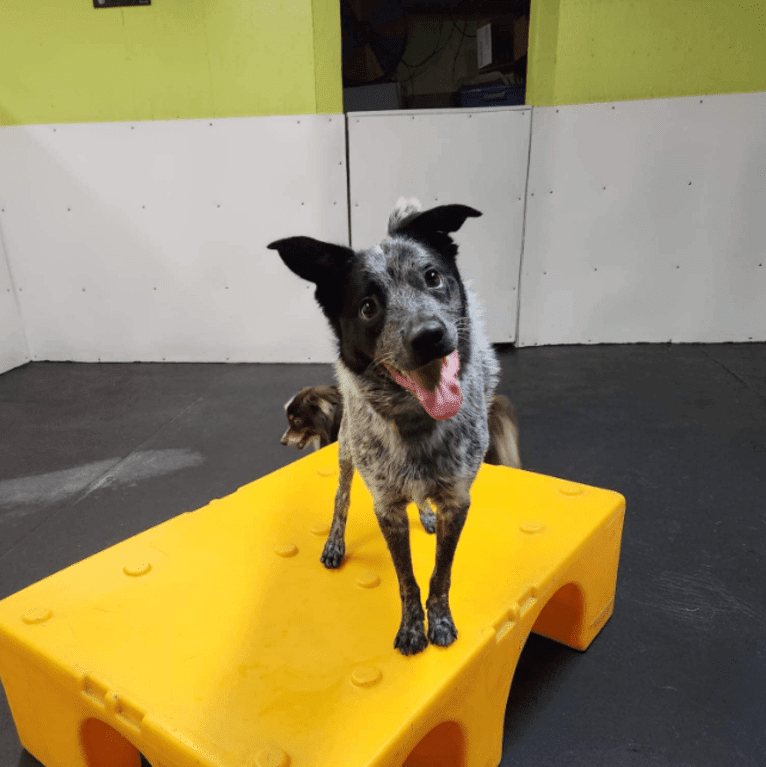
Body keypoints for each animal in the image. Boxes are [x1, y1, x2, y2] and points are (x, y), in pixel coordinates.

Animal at [270, 196, 516, 656]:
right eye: (368, 306)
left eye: (432, 277)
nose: (430, 335)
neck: (417, 423)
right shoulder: (386, 506)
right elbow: (406, 577)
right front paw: (412, 628)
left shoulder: (458, 500)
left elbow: (440, 573)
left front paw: (440, 621)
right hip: (347, 450)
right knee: (341, 499)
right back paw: (335, 543)